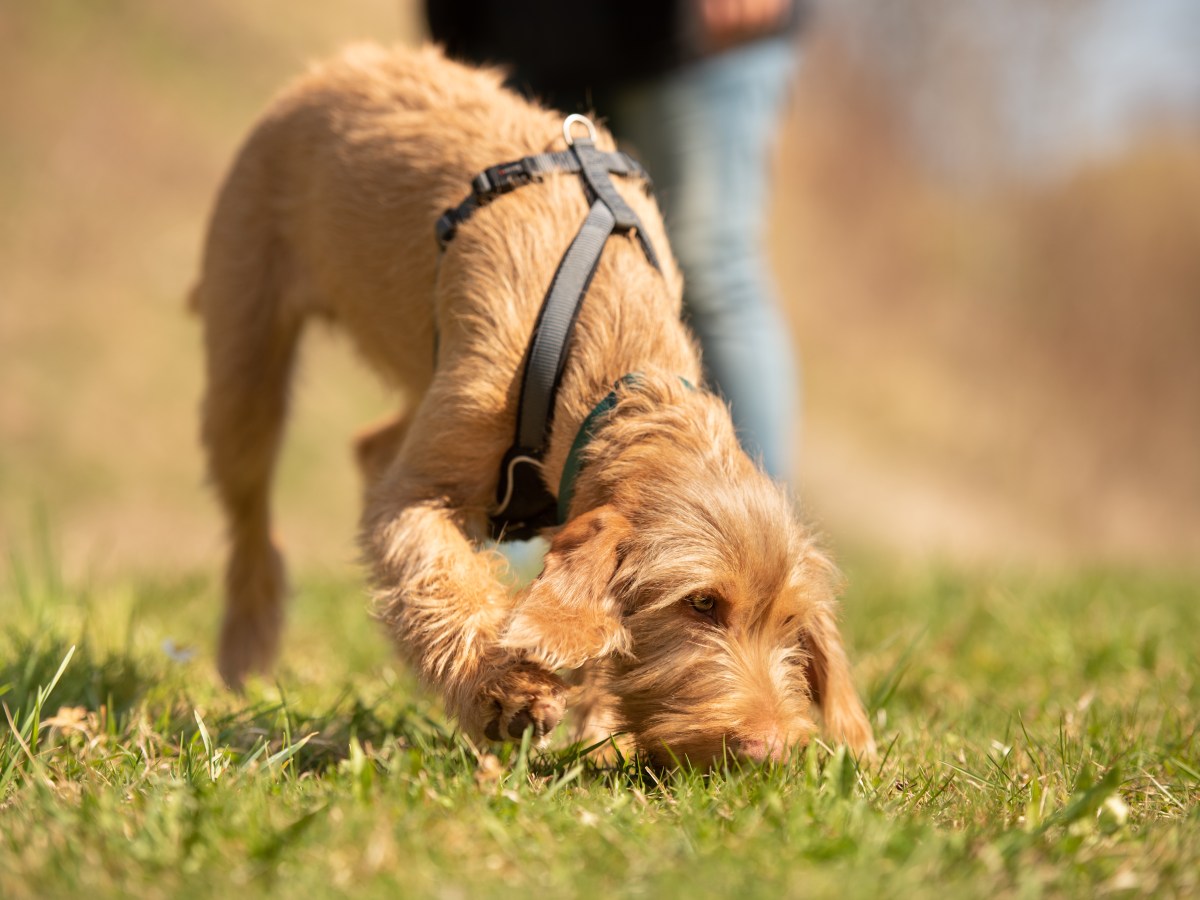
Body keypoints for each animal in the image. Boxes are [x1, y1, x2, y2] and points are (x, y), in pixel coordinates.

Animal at [194, 44, 873, 768]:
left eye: (791, 623)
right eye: (702, 604)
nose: (768, 750)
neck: (619, 374)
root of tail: (345, 61)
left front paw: (597, 736)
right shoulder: (417, 495)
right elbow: (440, 579)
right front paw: (502, 691)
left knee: (372, 445)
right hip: (245, 353)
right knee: (253, 510)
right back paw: (244, 648)